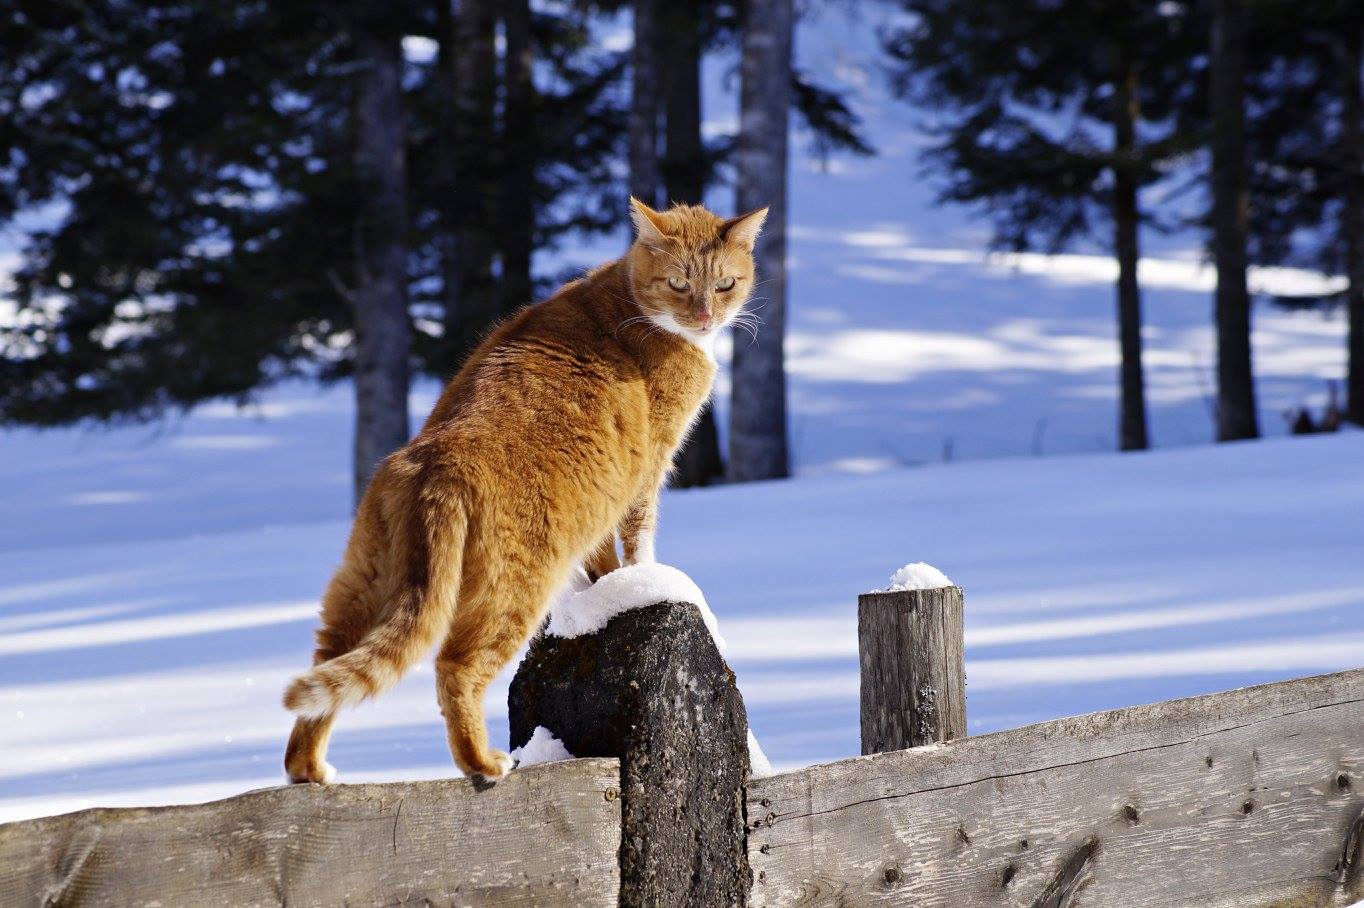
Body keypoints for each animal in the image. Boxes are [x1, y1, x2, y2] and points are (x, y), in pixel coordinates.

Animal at [283, 196, 769, 779]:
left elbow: (603, 558)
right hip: (513, 591)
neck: (630, 302)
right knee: (456, 668)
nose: (704, 315)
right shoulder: (648, 466)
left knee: (329, 665)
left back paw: (309, 769)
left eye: (725, 284)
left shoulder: (604, 495)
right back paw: (482, 763)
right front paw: (645, 579)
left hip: (364, 585)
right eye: (678, 283)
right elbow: (639, 538)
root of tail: (439, 461)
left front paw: (607, 586)